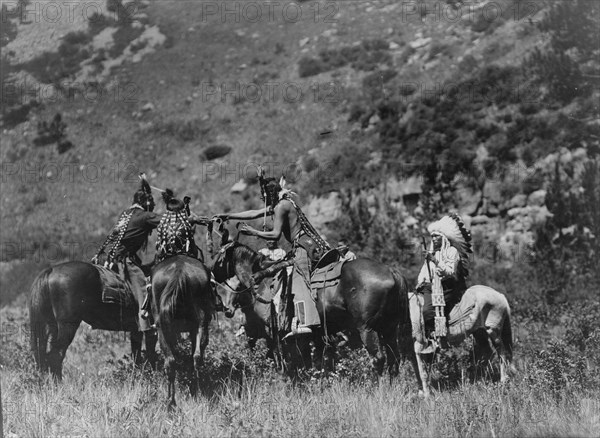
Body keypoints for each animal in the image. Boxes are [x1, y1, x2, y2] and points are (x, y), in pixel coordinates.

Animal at [29, 260, 157, 380]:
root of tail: (51, 270)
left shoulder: (137, 331)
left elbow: (137, 356)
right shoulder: (152, 330)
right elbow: (151, 355)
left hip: (52, 326)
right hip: (68, 326)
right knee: (56, 355)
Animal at [150, 253, 216, 408]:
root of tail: (178, 271)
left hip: (163, 328)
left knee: (171, 361)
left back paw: (171, 401)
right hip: (200, 324)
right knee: (196, 356)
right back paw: (195, 392)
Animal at [211, 241, 412, 378]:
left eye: (219, 258)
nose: (226, 309)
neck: (263, 281)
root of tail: (392, 272)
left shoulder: (273, 333)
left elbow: (284, 361)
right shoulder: (313, 335)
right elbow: (314, 362)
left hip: (367, 328)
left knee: (378, 358)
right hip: (389, 329)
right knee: (394, 359)